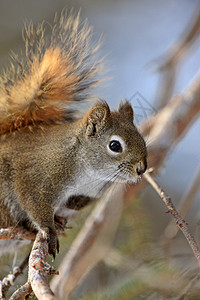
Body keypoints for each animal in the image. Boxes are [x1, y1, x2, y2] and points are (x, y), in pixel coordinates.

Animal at [0, 9, 147, 258]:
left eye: (142, 139)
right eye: (115, 145)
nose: (141, 169)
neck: (88, 173)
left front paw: (72, 205)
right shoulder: (36, 178)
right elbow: (34, 203)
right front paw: (48, 230)